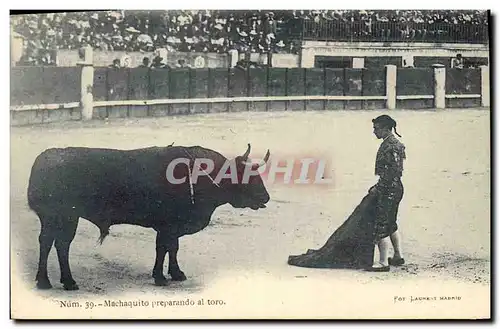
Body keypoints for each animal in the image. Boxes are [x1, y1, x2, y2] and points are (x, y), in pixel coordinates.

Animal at [27, 142, 270, 288]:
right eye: (247, 175)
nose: (266, 198)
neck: (202, 176)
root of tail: (44, 158)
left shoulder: (172, 228)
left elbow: (173, 248)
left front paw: (176, 273)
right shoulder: (167, 226)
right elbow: (163, 248)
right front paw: (160, 277)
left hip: (58, 219)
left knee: (52, 243)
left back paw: (51, 281)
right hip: (62, 217)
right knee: (57, 244)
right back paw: (58, 282)